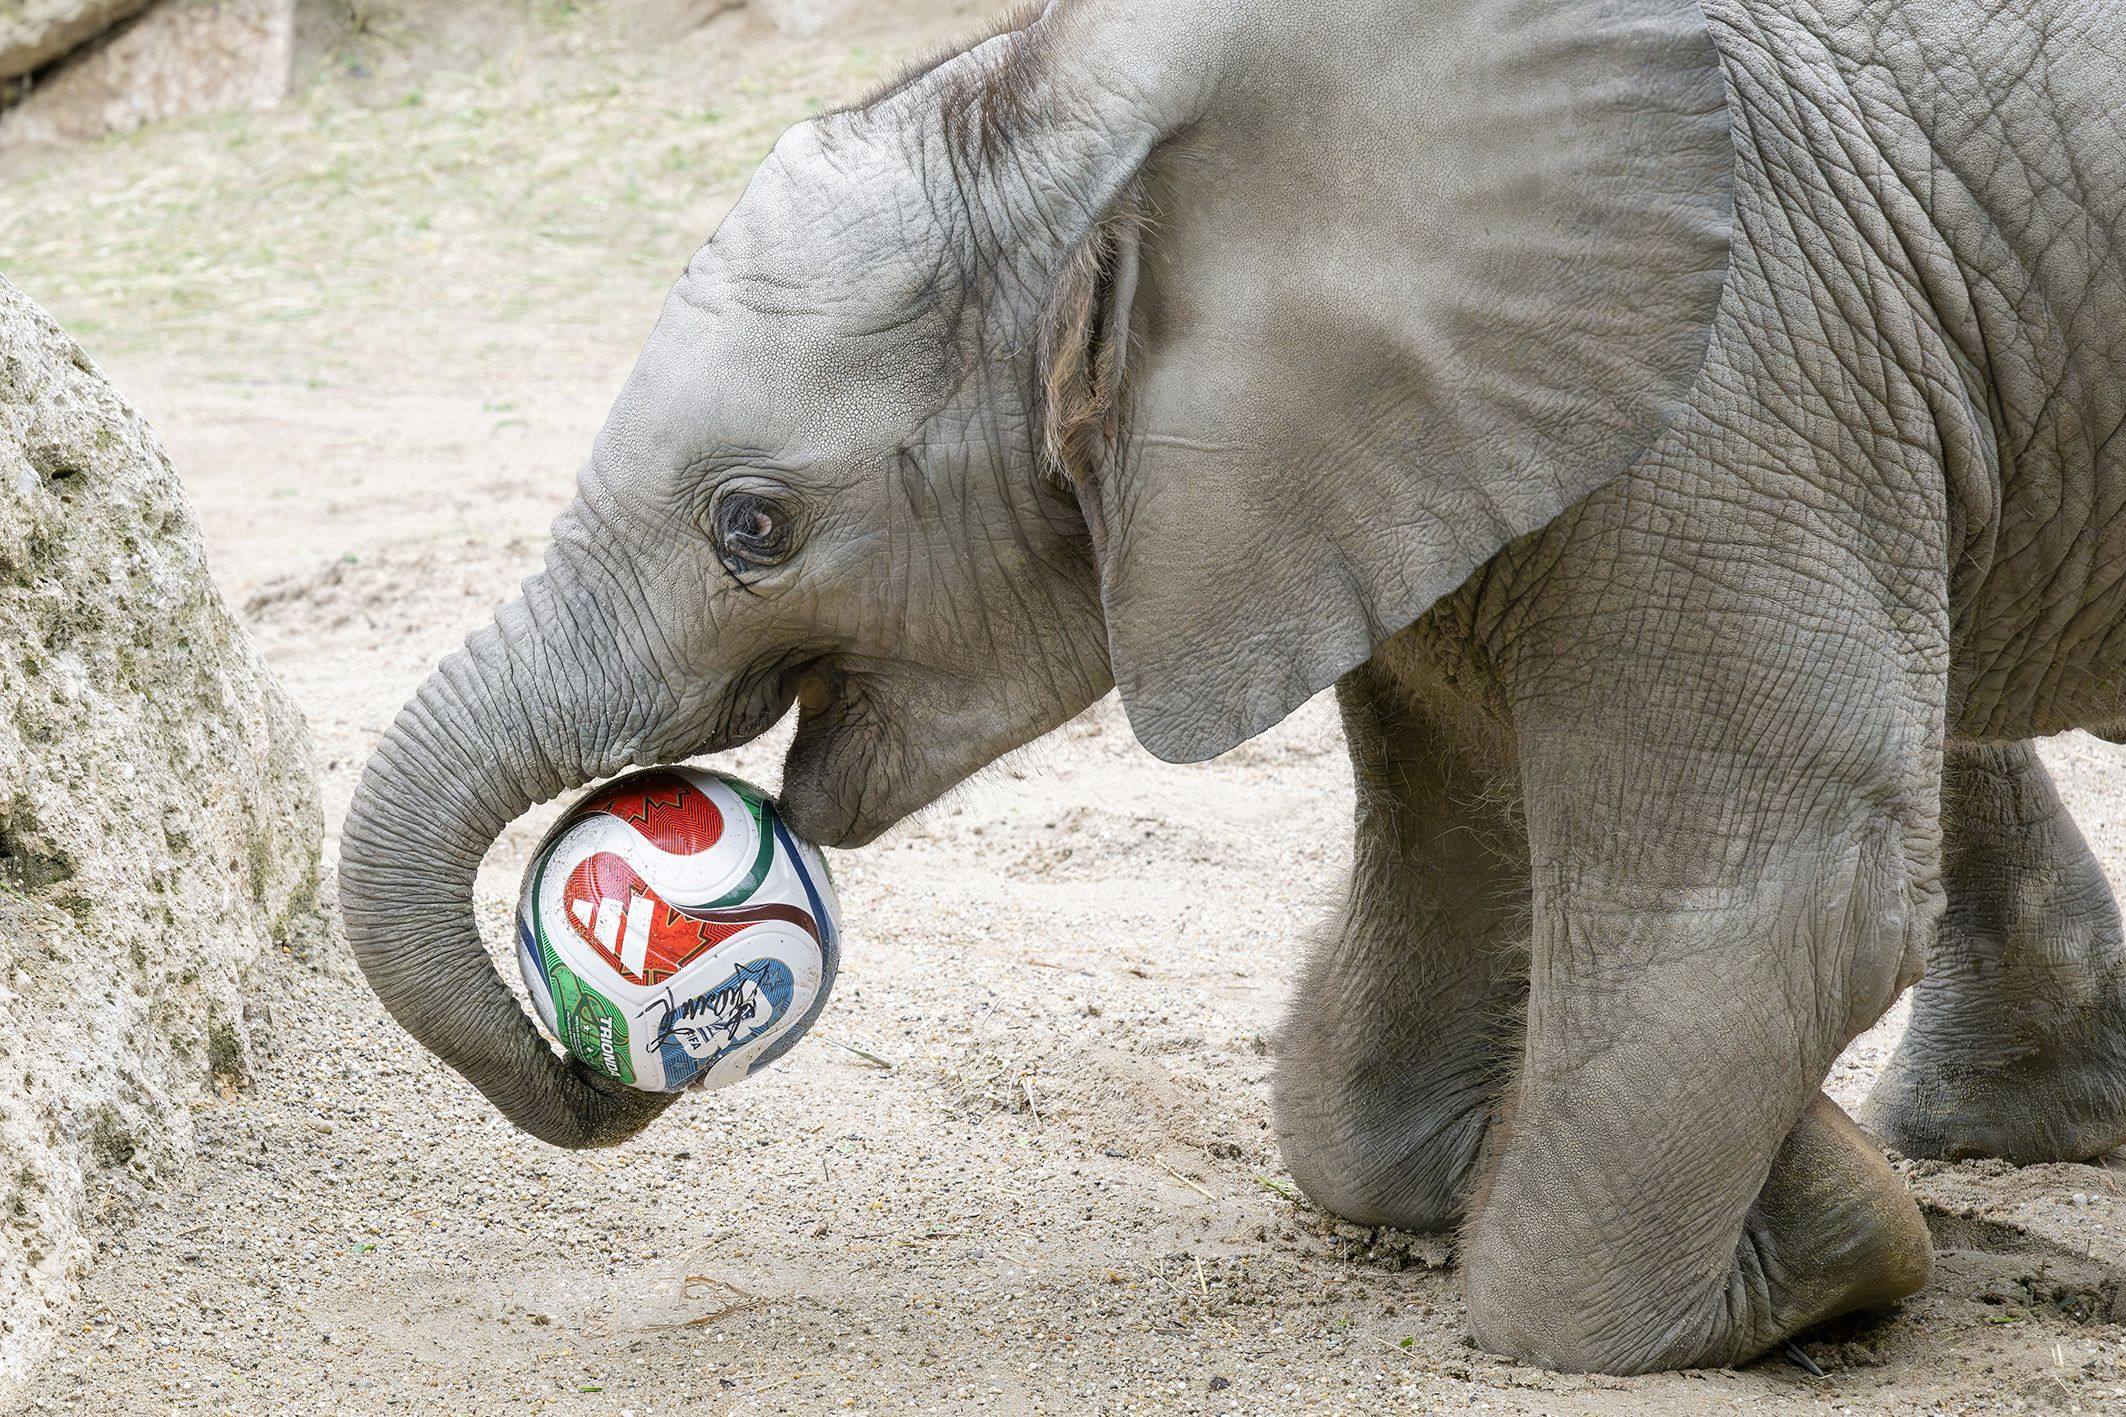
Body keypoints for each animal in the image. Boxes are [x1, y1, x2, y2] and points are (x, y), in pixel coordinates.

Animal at [338, 0, 2126, 1377]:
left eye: (750, 527)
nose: (595, 1065)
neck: (1103, 106)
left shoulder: (1729, 386)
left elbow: (1773, 906)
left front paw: (1833, 1252)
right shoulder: (1425, 453)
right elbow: (1402, 1004)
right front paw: (1787, 1186)